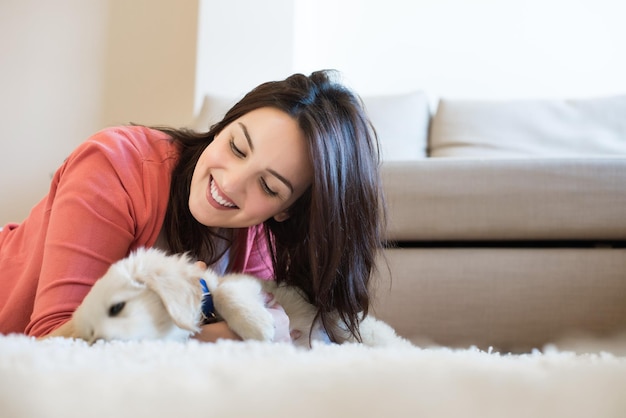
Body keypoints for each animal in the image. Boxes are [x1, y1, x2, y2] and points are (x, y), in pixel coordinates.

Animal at [70, 247, 410, 348]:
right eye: (89, 334)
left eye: (117, 308)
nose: (97, 344)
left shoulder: (246, 284)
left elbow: (227, 291)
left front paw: (256, 326)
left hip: (356, 330)